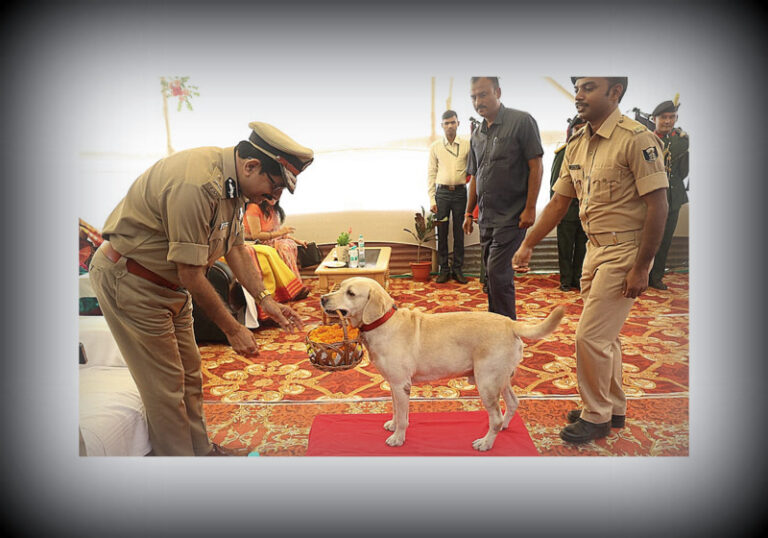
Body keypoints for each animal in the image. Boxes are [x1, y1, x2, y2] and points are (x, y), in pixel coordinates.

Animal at [318, 276, 564, 448]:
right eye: (339, 286)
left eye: (350, 293)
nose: (322, 298)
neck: (382, 322)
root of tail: (511, 323)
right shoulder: (393, 385)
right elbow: (396, 410)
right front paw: (393, 425)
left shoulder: (401, 385)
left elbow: (403, 417)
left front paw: (398, 437)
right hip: (500, 379)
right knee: (512, 403)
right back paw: (503, 425)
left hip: (486, 382)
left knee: (495, 417)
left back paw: (486, 442)